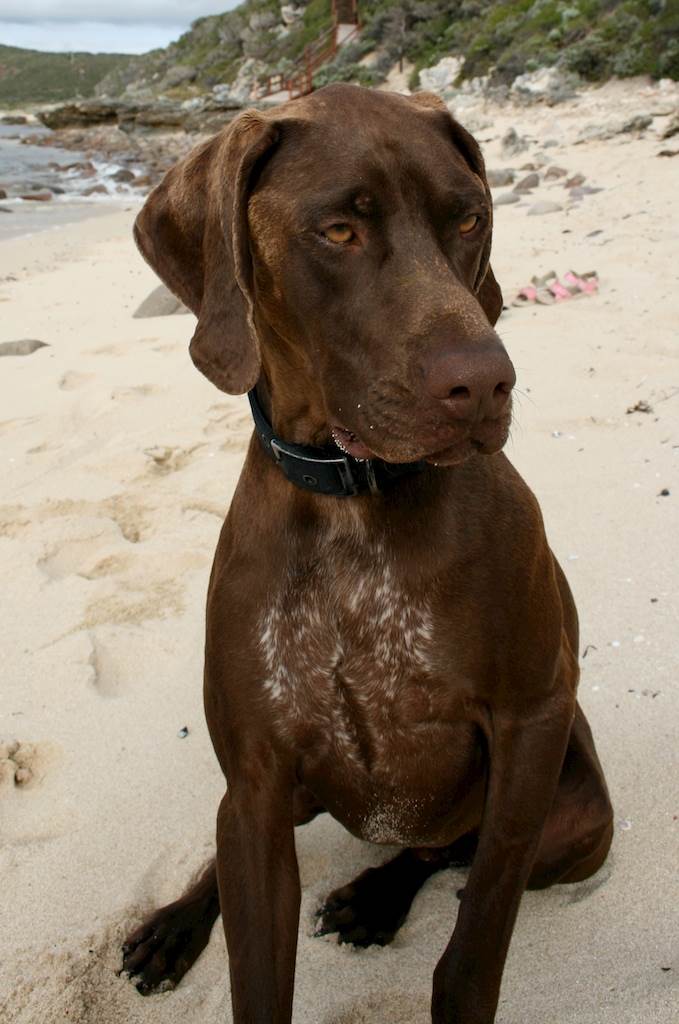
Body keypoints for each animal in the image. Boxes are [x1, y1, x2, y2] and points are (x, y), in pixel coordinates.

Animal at [121, 84, 613, 1023]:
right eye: (338, 231)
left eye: (469, 218)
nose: (484, 384)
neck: (353, 502)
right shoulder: (259, 778)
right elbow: (255, 972)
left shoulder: (530, 722)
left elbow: (471, 948)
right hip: (276, 797)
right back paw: (174, 922)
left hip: (578, 826)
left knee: (443, 851)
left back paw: (378, 895)